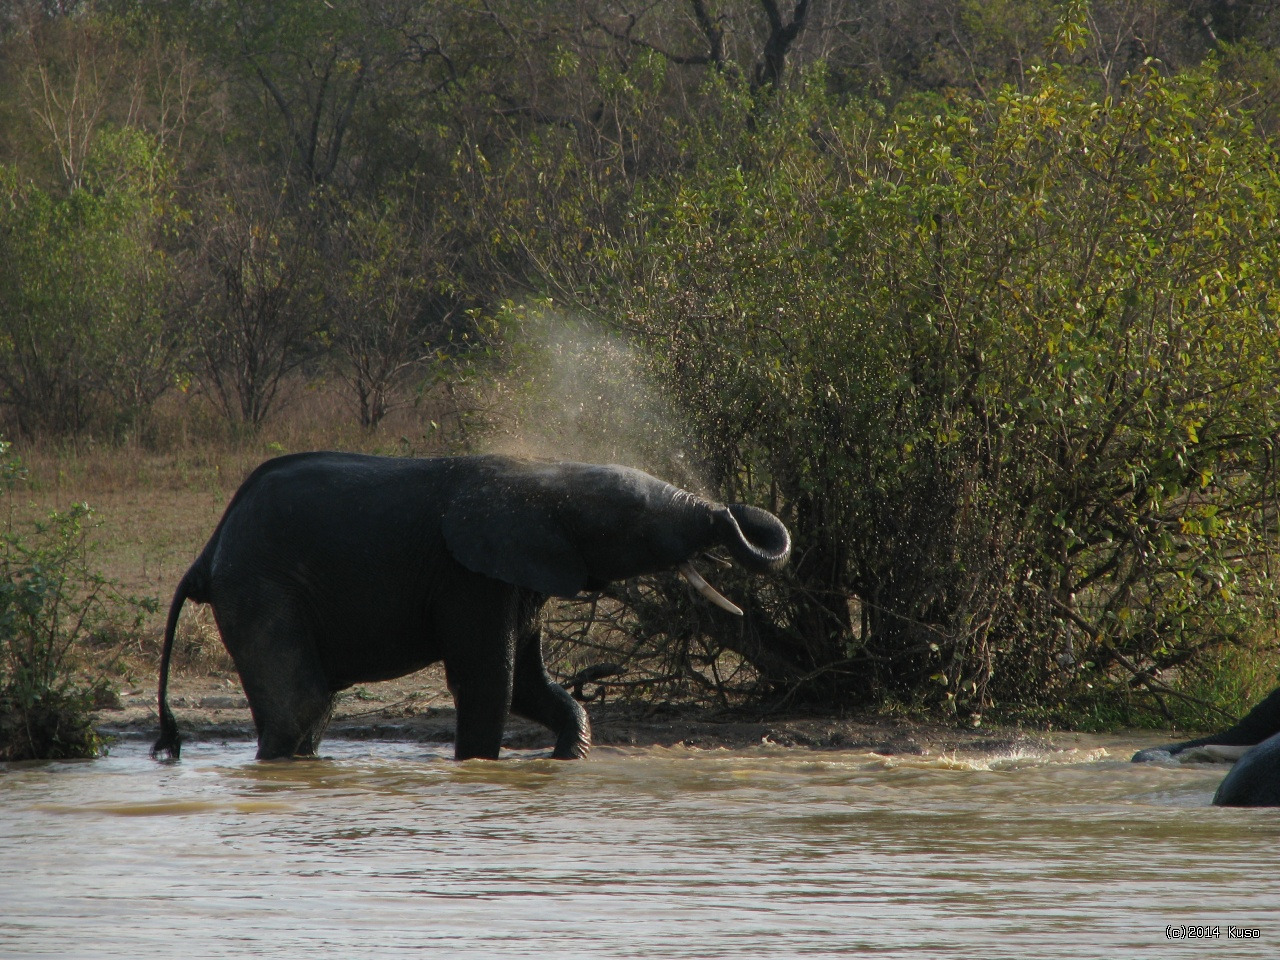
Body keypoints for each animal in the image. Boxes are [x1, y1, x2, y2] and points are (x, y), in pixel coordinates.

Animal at [149, 455, 788, 762]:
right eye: (633, 529)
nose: (729, 514)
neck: (549, 481)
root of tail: (207, 551)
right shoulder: (470, 576)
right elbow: (491, 683)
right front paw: (479, 769)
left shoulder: (516, 578)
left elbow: (529, 686)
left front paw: (566, 758)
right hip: (261, 589)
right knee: (301, 701)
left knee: (312, 707)